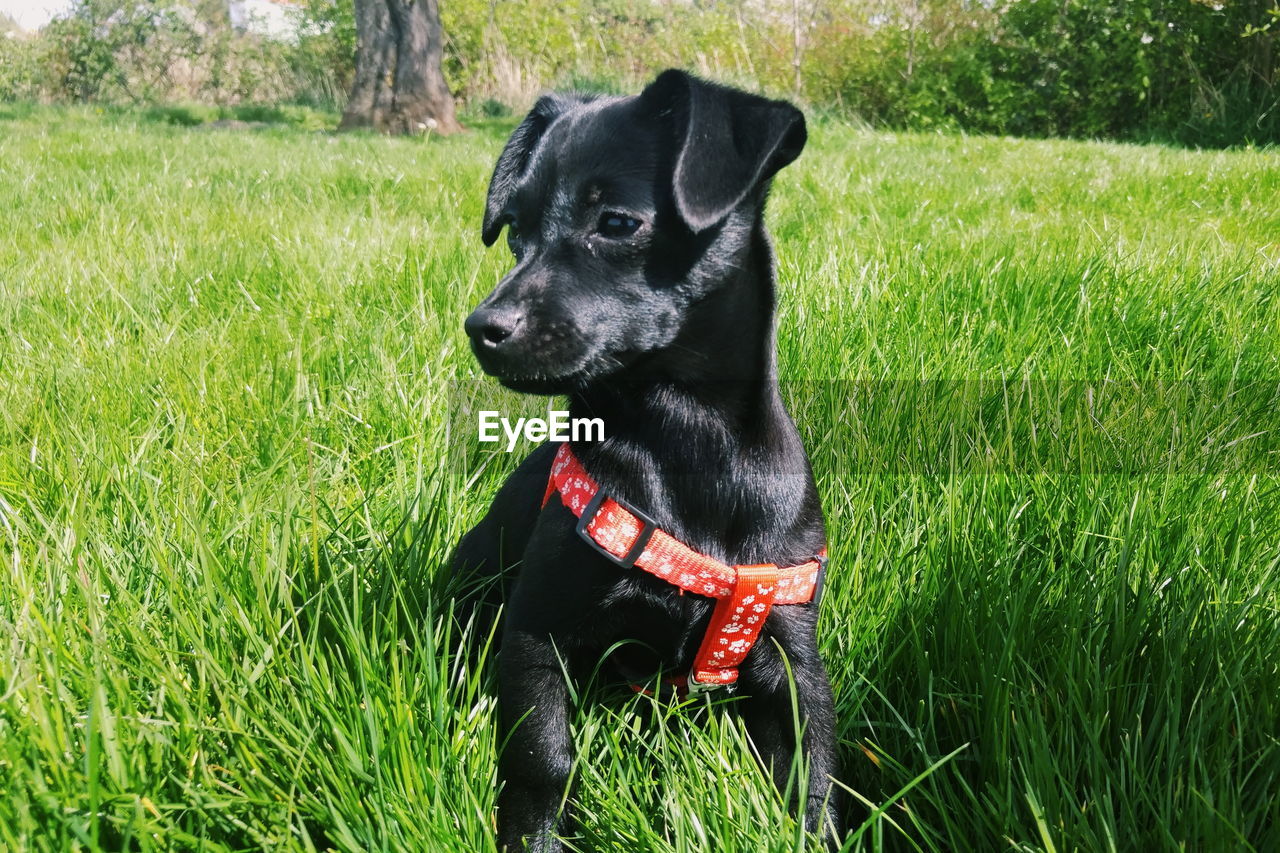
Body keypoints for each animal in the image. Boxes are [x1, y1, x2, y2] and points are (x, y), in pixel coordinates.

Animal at [450, 68, 839, 850]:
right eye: (515, 232)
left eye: (617, 224)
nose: (483, 328)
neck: (682, 439)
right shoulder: (537, 631)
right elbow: (543, 755)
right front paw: (534, 838)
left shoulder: (793, 658)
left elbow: (812, 779)